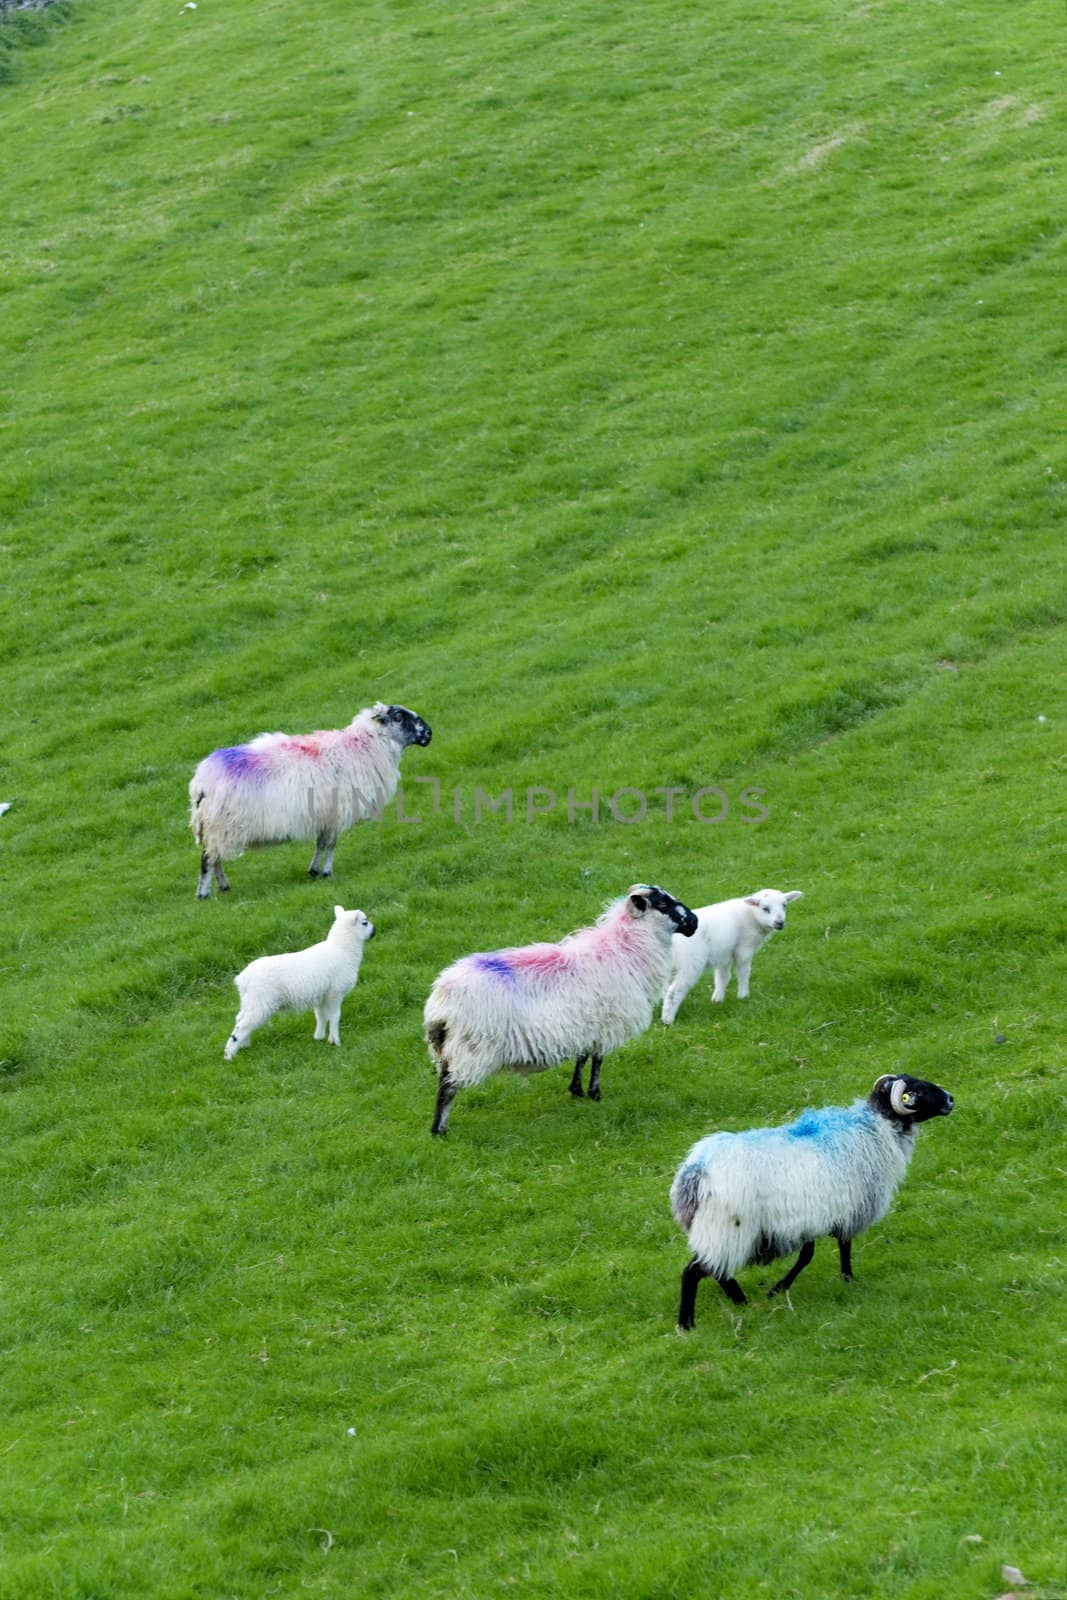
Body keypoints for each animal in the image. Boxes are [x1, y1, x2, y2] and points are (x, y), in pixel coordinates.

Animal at [189, 704, 431, 902]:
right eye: (398, 716)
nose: (429, 733)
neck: (363, 747)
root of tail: (201, 781)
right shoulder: (336, 812)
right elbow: (331, 844)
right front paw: (327, 872)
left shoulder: (324, 815)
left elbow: (321, 843)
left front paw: (314, 870)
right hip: (221, 825)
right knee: (207, 859)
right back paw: (204, 893)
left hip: (217, 829)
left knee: (216, 857)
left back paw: (223, 886)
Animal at [223, 908, 377, 1056]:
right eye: (364, 922)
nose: (375, 931)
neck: (342, 948)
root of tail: (243, 979)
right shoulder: (335, 993)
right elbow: (334, 1017)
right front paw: (335, 1041)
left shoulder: (322, 995)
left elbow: (321, 1016)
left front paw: (319, 1037)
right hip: (261, 1001)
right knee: (243, 1025)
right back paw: (229, 1054)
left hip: (250, 1000)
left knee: (240, 1019)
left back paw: (244, 1044)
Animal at [425, 889, 700, 1139]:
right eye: (662, 904)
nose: (695, 922)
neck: (626, 948)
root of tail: (440, 1001)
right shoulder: (607, 1024)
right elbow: (597, 1060)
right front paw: (595, 1094)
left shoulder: (586, 1024)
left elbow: (582, 1057)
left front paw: (576, 1090)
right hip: (470, 1047)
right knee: (447, 1087)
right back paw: (439, 1131)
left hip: (450, 1048)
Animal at [659, 889, 799, 1024]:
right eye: (765, 908)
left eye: (784, 905)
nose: (780, 923)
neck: (751, 915)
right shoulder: (744, 948)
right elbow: (743, 973)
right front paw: (743, 996)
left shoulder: (724, 953)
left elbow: (723, 977)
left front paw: (717, 999)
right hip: (690, 963)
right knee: (674, 991)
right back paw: (667, 1020)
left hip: (668, 966)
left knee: (666, 988)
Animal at [671, 1075, 953, 1324]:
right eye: (918, 1090)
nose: (951, 1099)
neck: (873, 1129)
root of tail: (696, 1171)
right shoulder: (843, 1210)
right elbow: (837, 1247)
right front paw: (845, 1279)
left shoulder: (810, 1217)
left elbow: (808, 1254)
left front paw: (779, 1288)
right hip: (727, 1227)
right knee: (694, 1272)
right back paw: (687, 1323)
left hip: (719, 1232)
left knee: (717, 1271)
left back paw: (741, 1302)